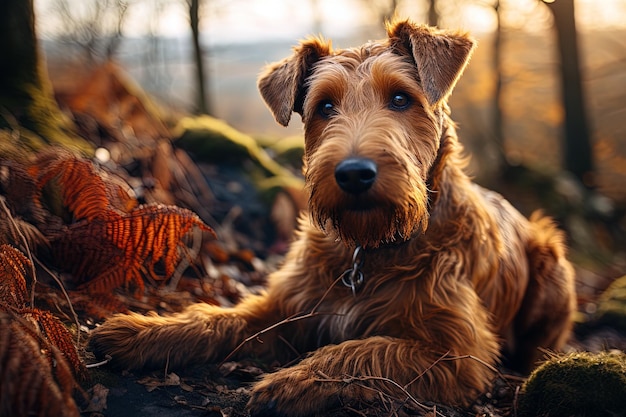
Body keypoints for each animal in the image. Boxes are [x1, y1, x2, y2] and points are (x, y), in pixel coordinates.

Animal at [89, 20, 576, 416]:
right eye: (324, 106)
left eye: (401, 98)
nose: (354, 173)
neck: (369, 249)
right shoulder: (284, 306)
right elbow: (218, 318)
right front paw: (144, 331)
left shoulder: (457, 353)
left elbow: (361, 350)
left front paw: (293, 381)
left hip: (553, 263)